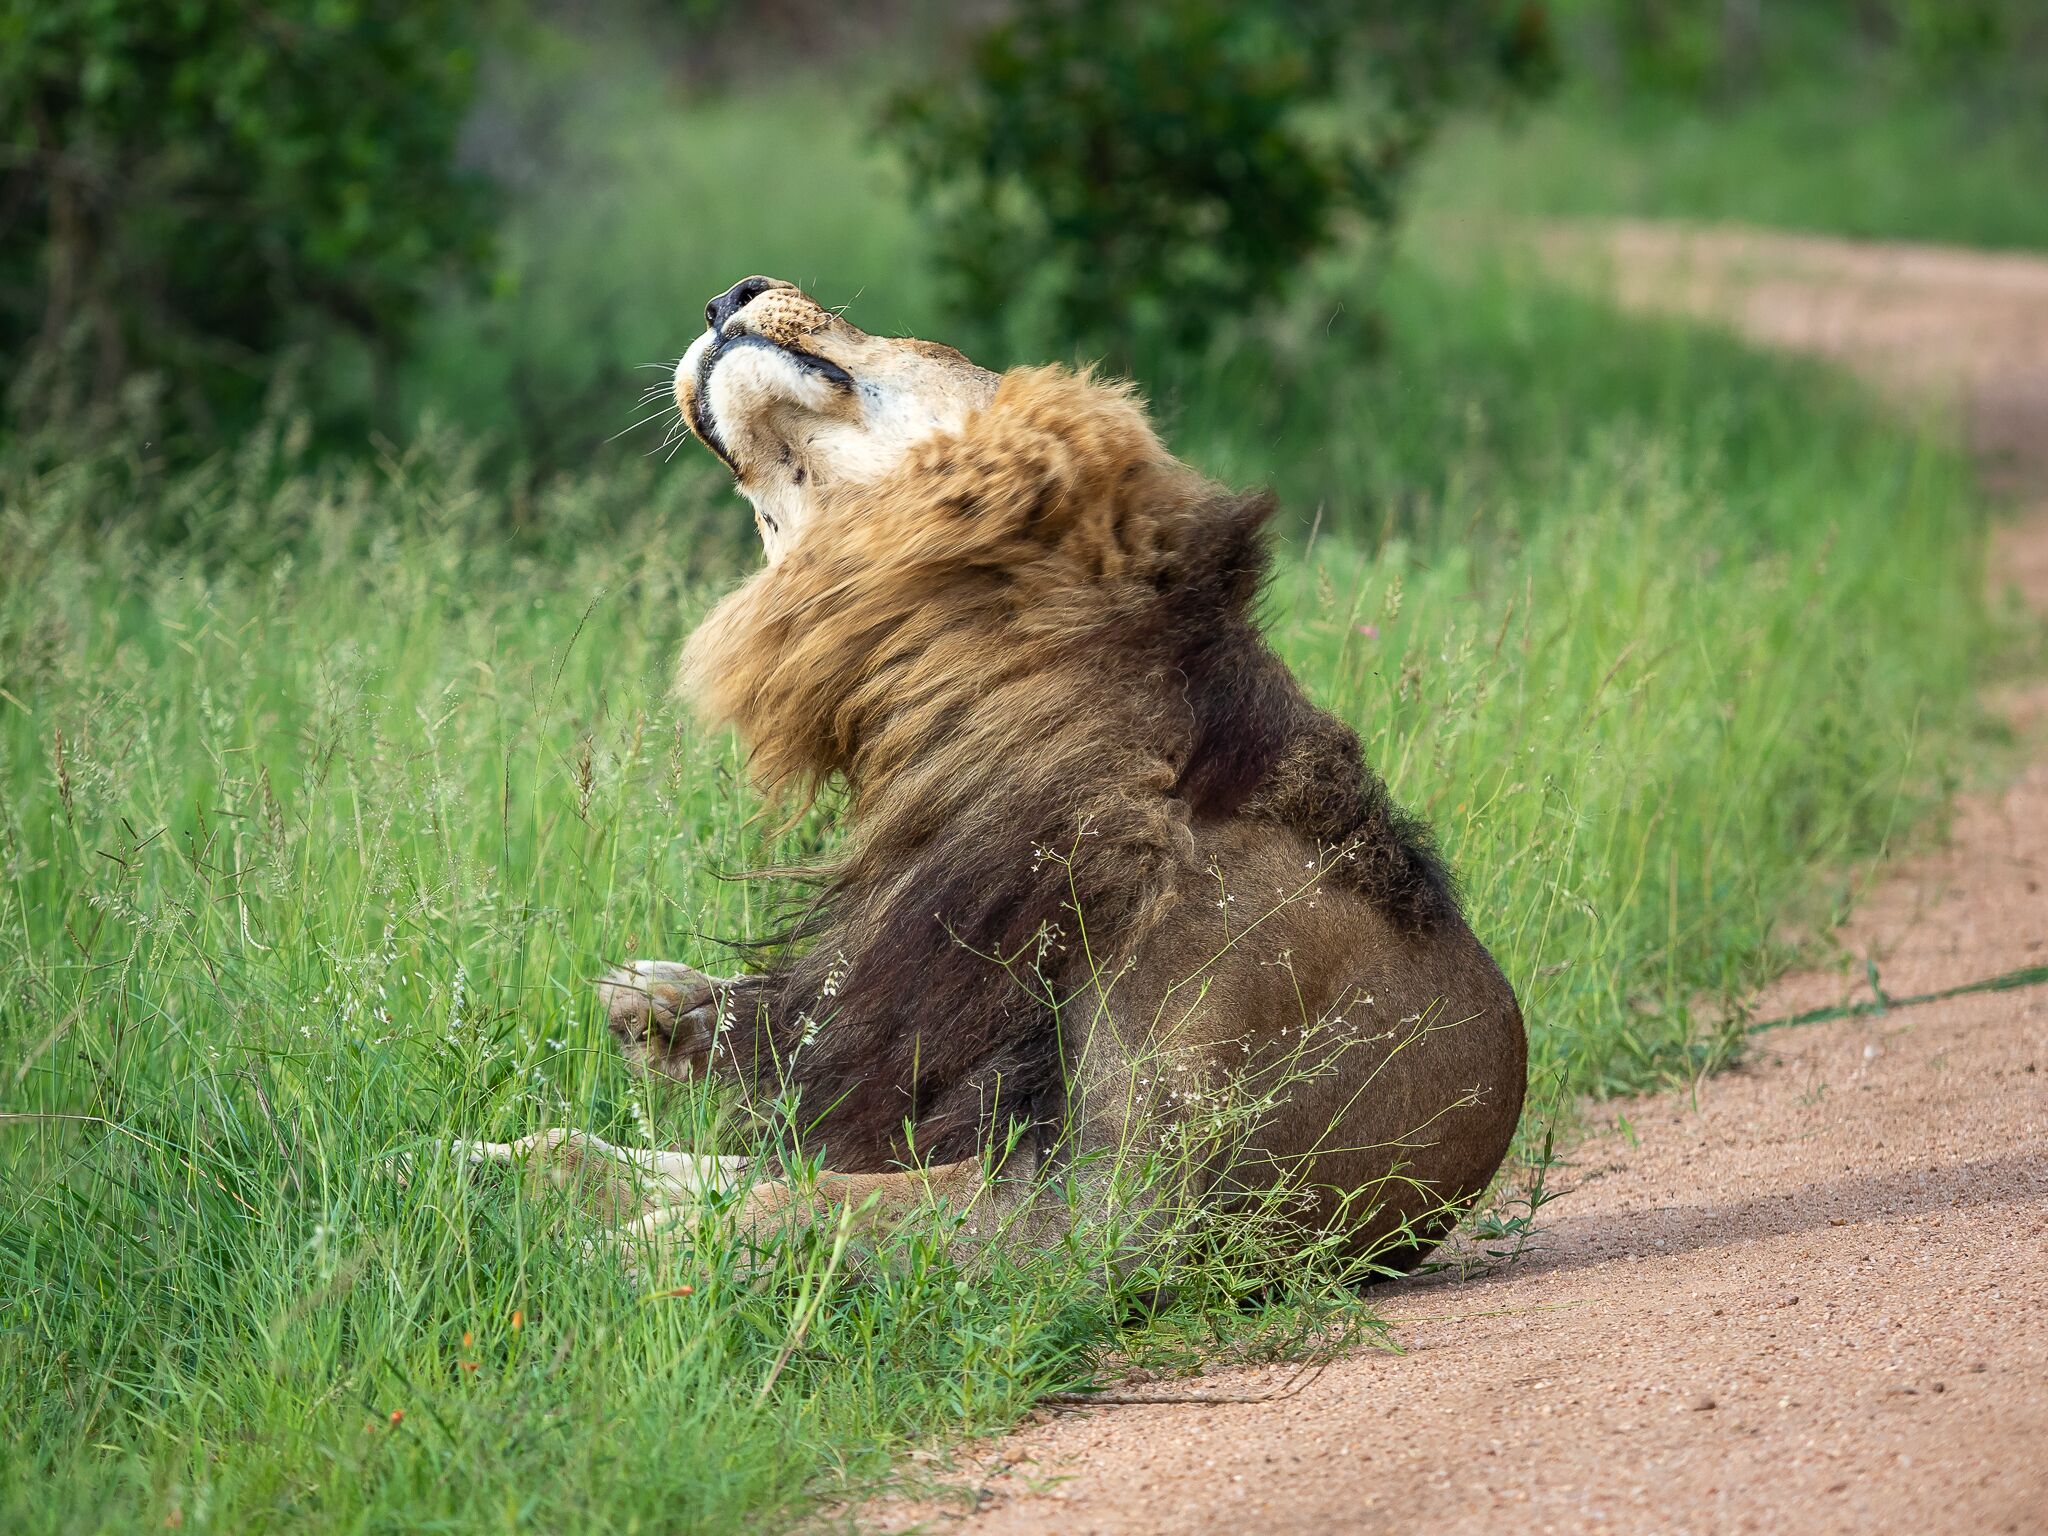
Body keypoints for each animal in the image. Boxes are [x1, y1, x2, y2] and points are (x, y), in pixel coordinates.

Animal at [465, 276, 1526, 1275]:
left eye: (922, 338)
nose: (730, 294)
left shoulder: (1116, 1211)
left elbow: (793, 1205)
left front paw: (600, 1261)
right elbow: (648, 1158)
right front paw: (466, 1169)